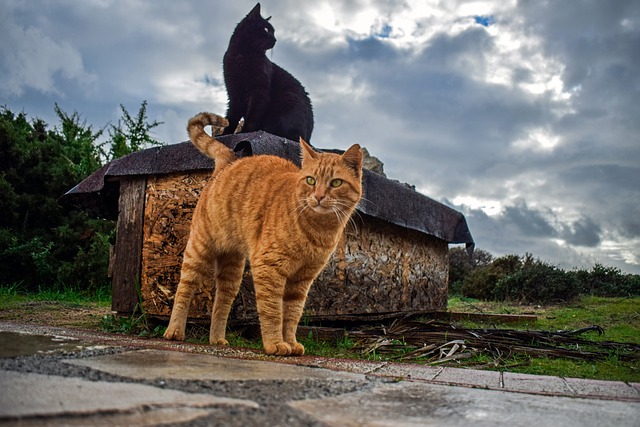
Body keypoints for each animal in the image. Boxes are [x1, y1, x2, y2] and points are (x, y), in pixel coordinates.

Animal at [162, 112, 362, 356]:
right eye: (311, 180)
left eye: (336, 183)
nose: (318, 197)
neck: (318, 229)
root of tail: (230, 161)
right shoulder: (269, 268)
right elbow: (273, 311)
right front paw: (275, 343)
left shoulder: (301, 280)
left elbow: (292, 315)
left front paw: (291, 342)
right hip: (199, 251)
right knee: (184, 290)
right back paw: (174, 331)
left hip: (232, 269)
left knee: (222, 303)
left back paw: (217, 339)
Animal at [221, 2, 314, 142]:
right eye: (266, 29)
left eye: (274, 32)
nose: (275, 40)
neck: (241, 56)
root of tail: (308, 139)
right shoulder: (233, 93)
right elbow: (231, 117)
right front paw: (223, 135)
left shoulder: (259, 92)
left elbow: (252, 117)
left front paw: (245, 132)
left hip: (289, 100)